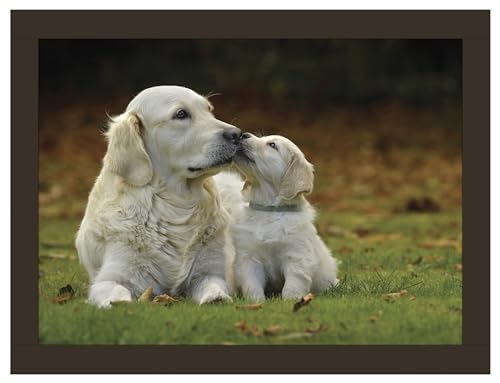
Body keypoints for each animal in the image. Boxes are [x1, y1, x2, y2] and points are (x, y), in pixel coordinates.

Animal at [76, 85, 242, 308]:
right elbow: (117, 293)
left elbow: (213, 284)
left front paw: (216, 298)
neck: (176, 206)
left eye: (209, 110)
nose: (237, 134)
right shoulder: (109, 278)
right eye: (181, 114)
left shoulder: (210, 272)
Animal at [213, 134, 338, 302]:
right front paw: (256, 302)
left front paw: (290, 301)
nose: (243, 134)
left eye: (272, 145)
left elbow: (292, 285)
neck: (269, 210)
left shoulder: (297, 257)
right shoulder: (249, 258)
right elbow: (252, 285)